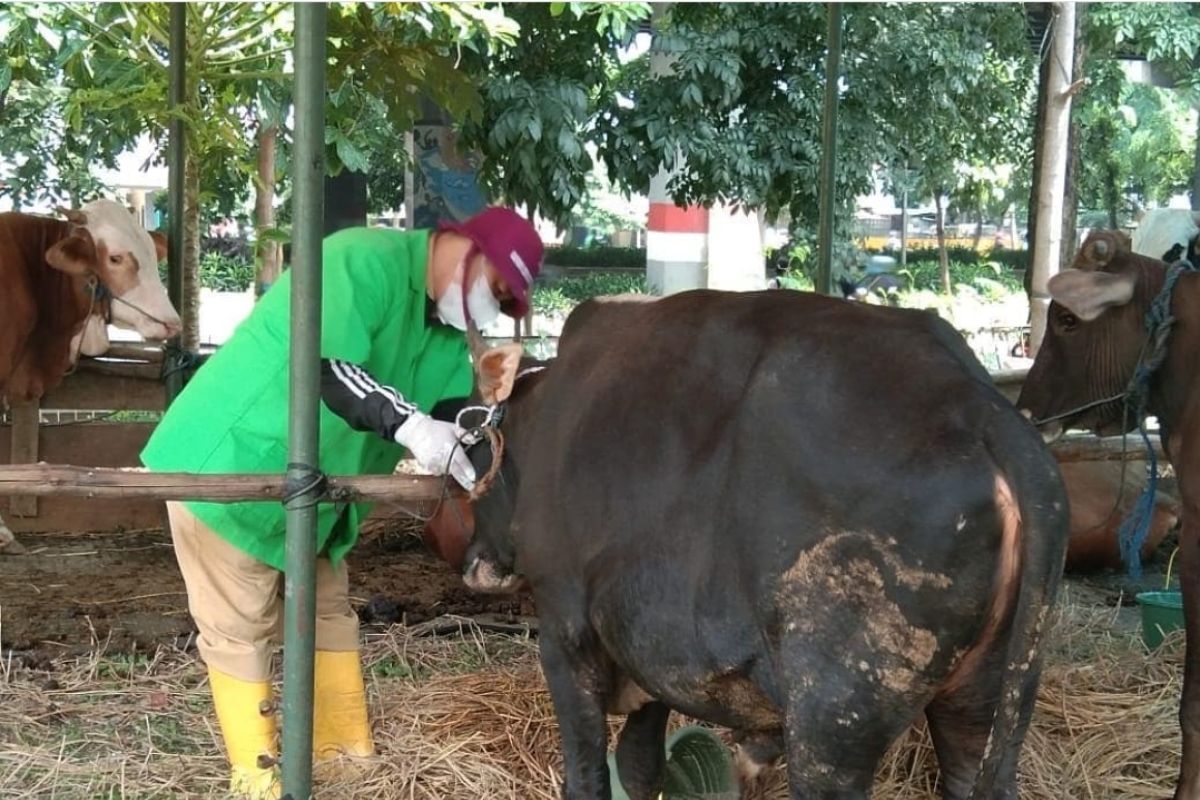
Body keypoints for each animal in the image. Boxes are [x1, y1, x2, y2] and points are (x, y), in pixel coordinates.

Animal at [458, 292, 1070, 800]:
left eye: (470, 452)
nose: (472, 563)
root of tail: (976, 406)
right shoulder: (648, 648)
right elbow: (640, 765)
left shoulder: (565, 627)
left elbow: (587, 774)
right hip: (984, 698)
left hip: (834, 722)